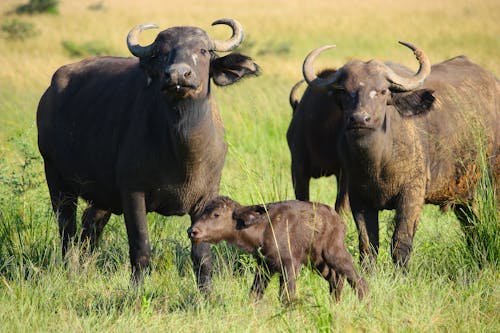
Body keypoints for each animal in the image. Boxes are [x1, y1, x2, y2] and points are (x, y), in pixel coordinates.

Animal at [37, 18, 260, 288]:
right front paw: (136, 289)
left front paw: (207, 292)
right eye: (161, 53)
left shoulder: (205, 197)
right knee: (67, 230)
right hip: (57, 179)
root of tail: (49, 94)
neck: (183, 153)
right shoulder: (133, 193)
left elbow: (202, 255)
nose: (177, 75)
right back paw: (71, 271)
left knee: (90, 229)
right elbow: (141, 248)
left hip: (102, 196)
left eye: (203, 50)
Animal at [188, 196, 368, 302]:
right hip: (316, 261)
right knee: (336, 279)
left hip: (334, 253)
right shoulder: (264, 266)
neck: (262, 229)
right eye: (202, 212)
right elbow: (255, 293)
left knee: (358, 279)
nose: (192, 231)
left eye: (216, 214)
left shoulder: (290, 265)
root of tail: (338, 219)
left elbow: (286, 296)